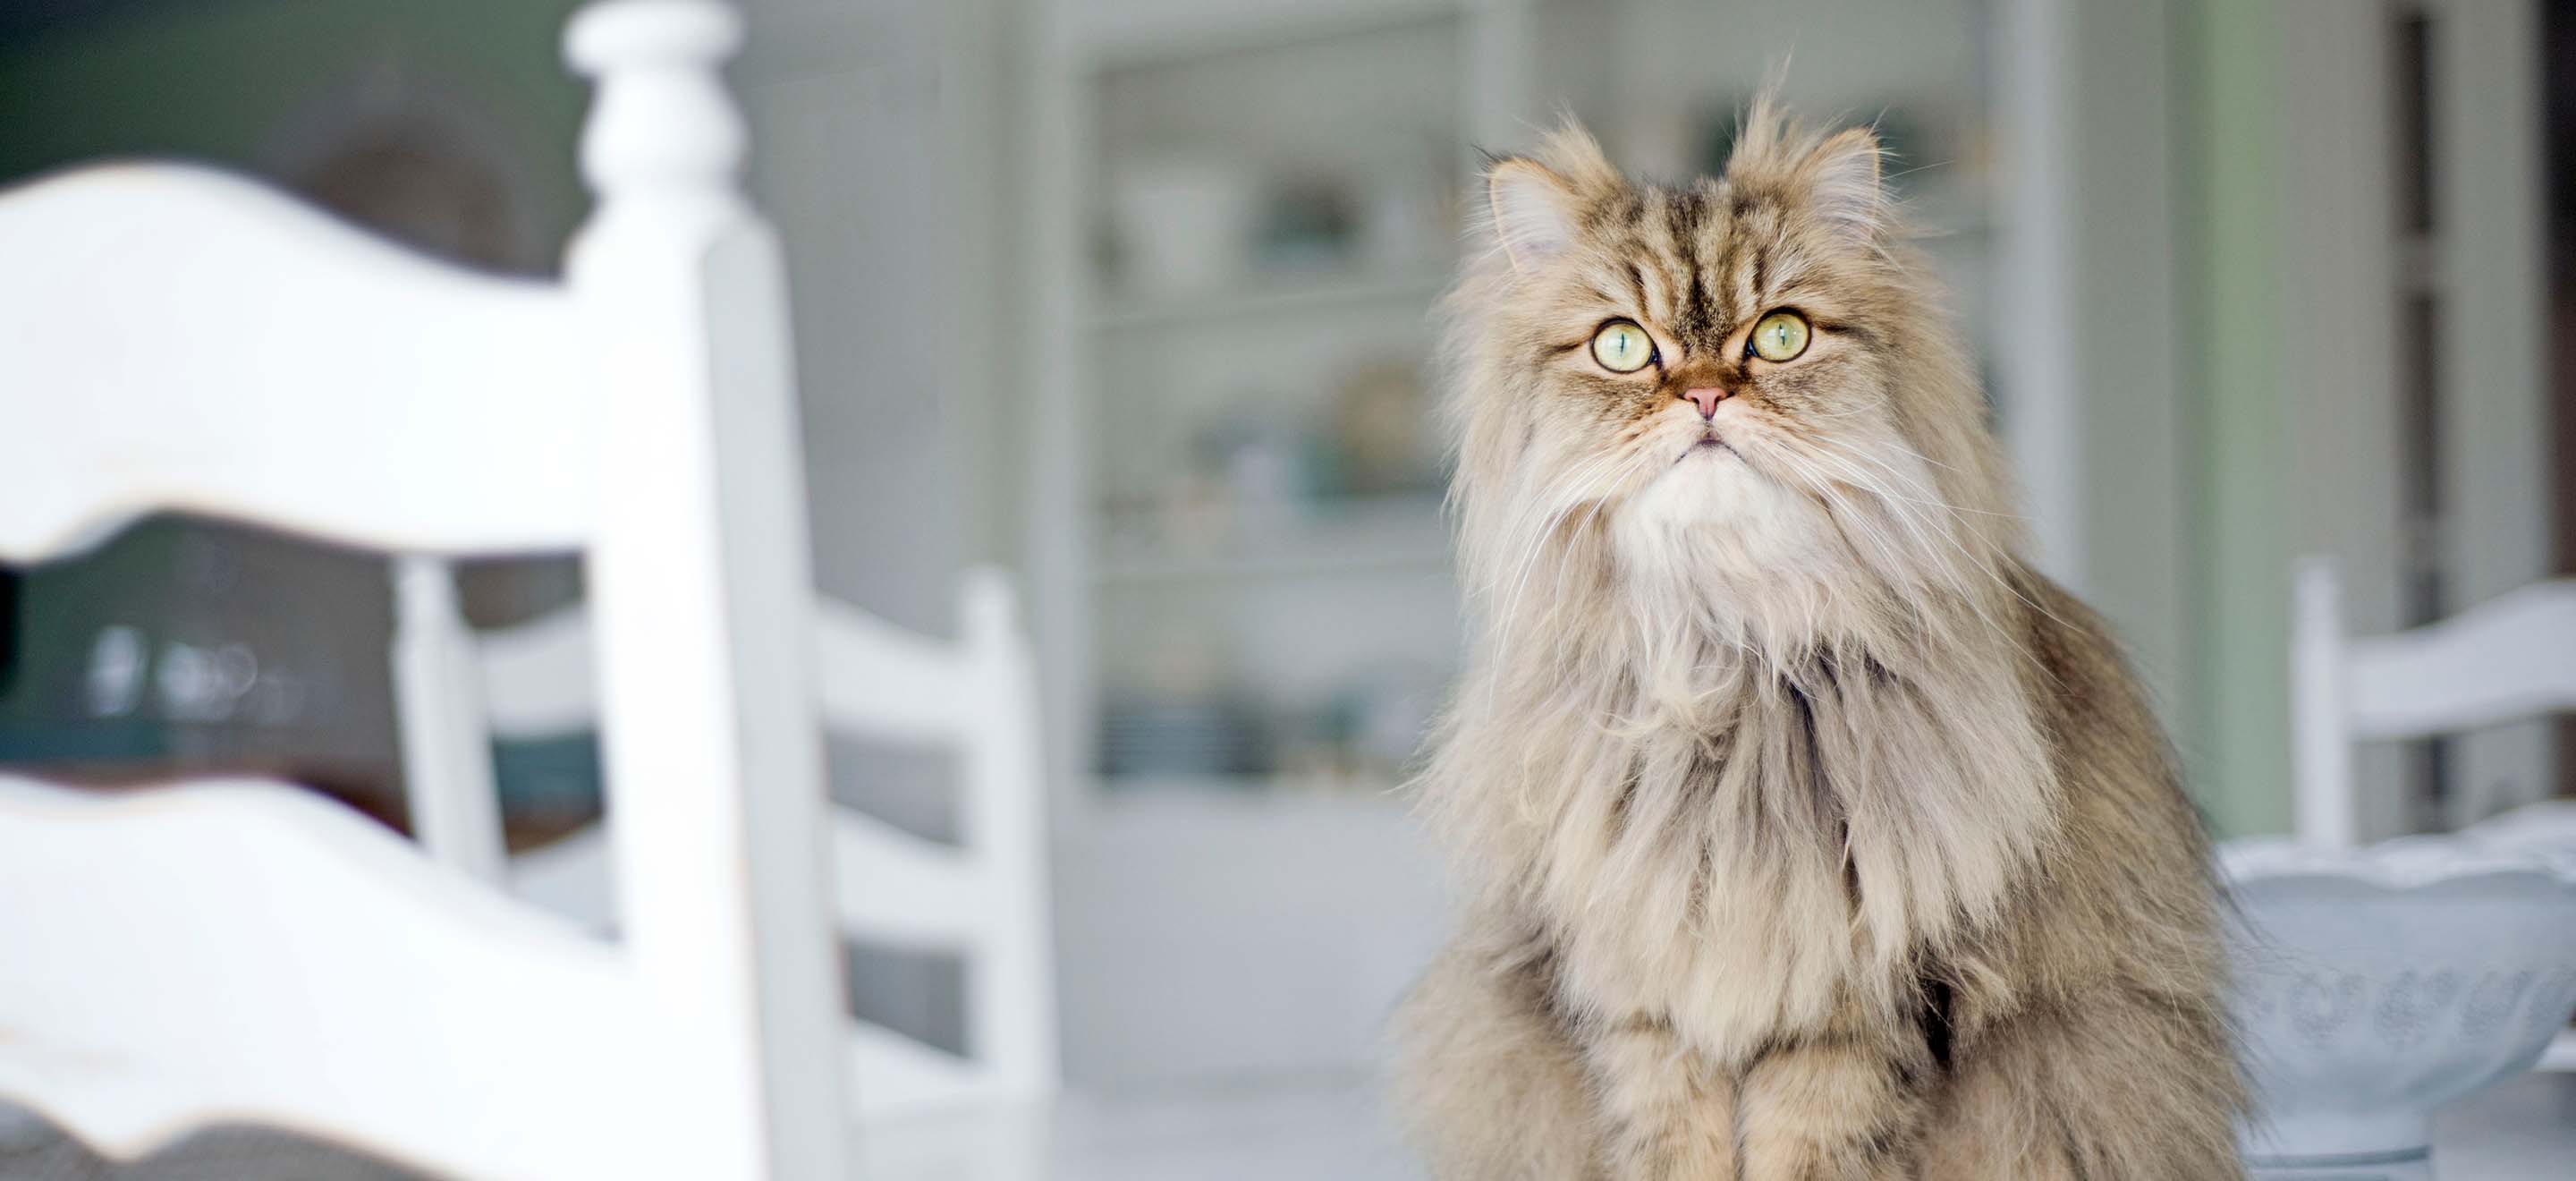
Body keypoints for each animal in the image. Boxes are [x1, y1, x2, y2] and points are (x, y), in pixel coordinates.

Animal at [1401, 104, 2246, 1181]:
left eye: (1781, 335)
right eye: (1624, 346)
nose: (1705, 396)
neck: (1727, 654)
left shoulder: (1857, 1011)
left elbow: (1808, 1154)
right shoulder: (1642, 1009)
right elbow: (1673, 1151)